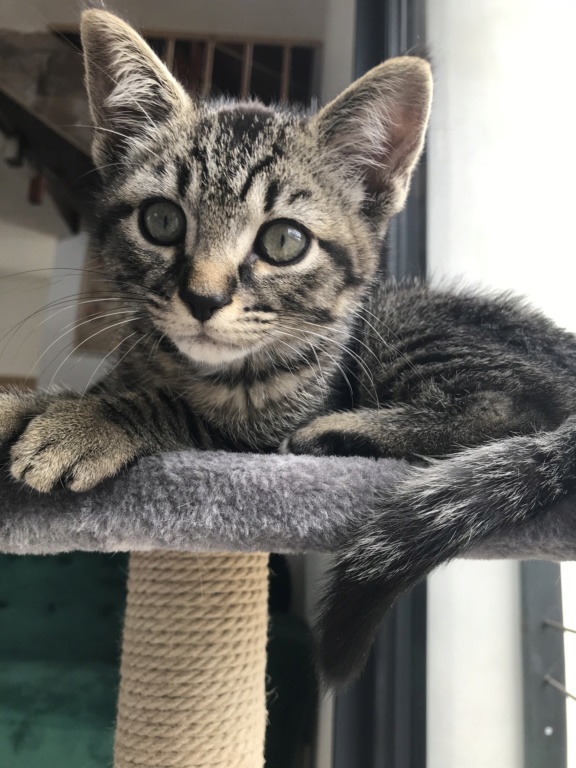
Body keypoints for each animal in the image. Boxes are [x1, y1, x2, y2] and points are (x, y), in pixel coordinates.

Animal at [3, 9, 576, 688]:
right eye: (162, 221)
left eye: (283, 240)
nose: (202, 298)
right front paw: (35, 406)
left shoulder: (264, 425)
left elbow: (178, 414)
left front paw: (84, 423)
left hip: (410, 324)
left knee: (522, 408)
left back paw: (343, 435)